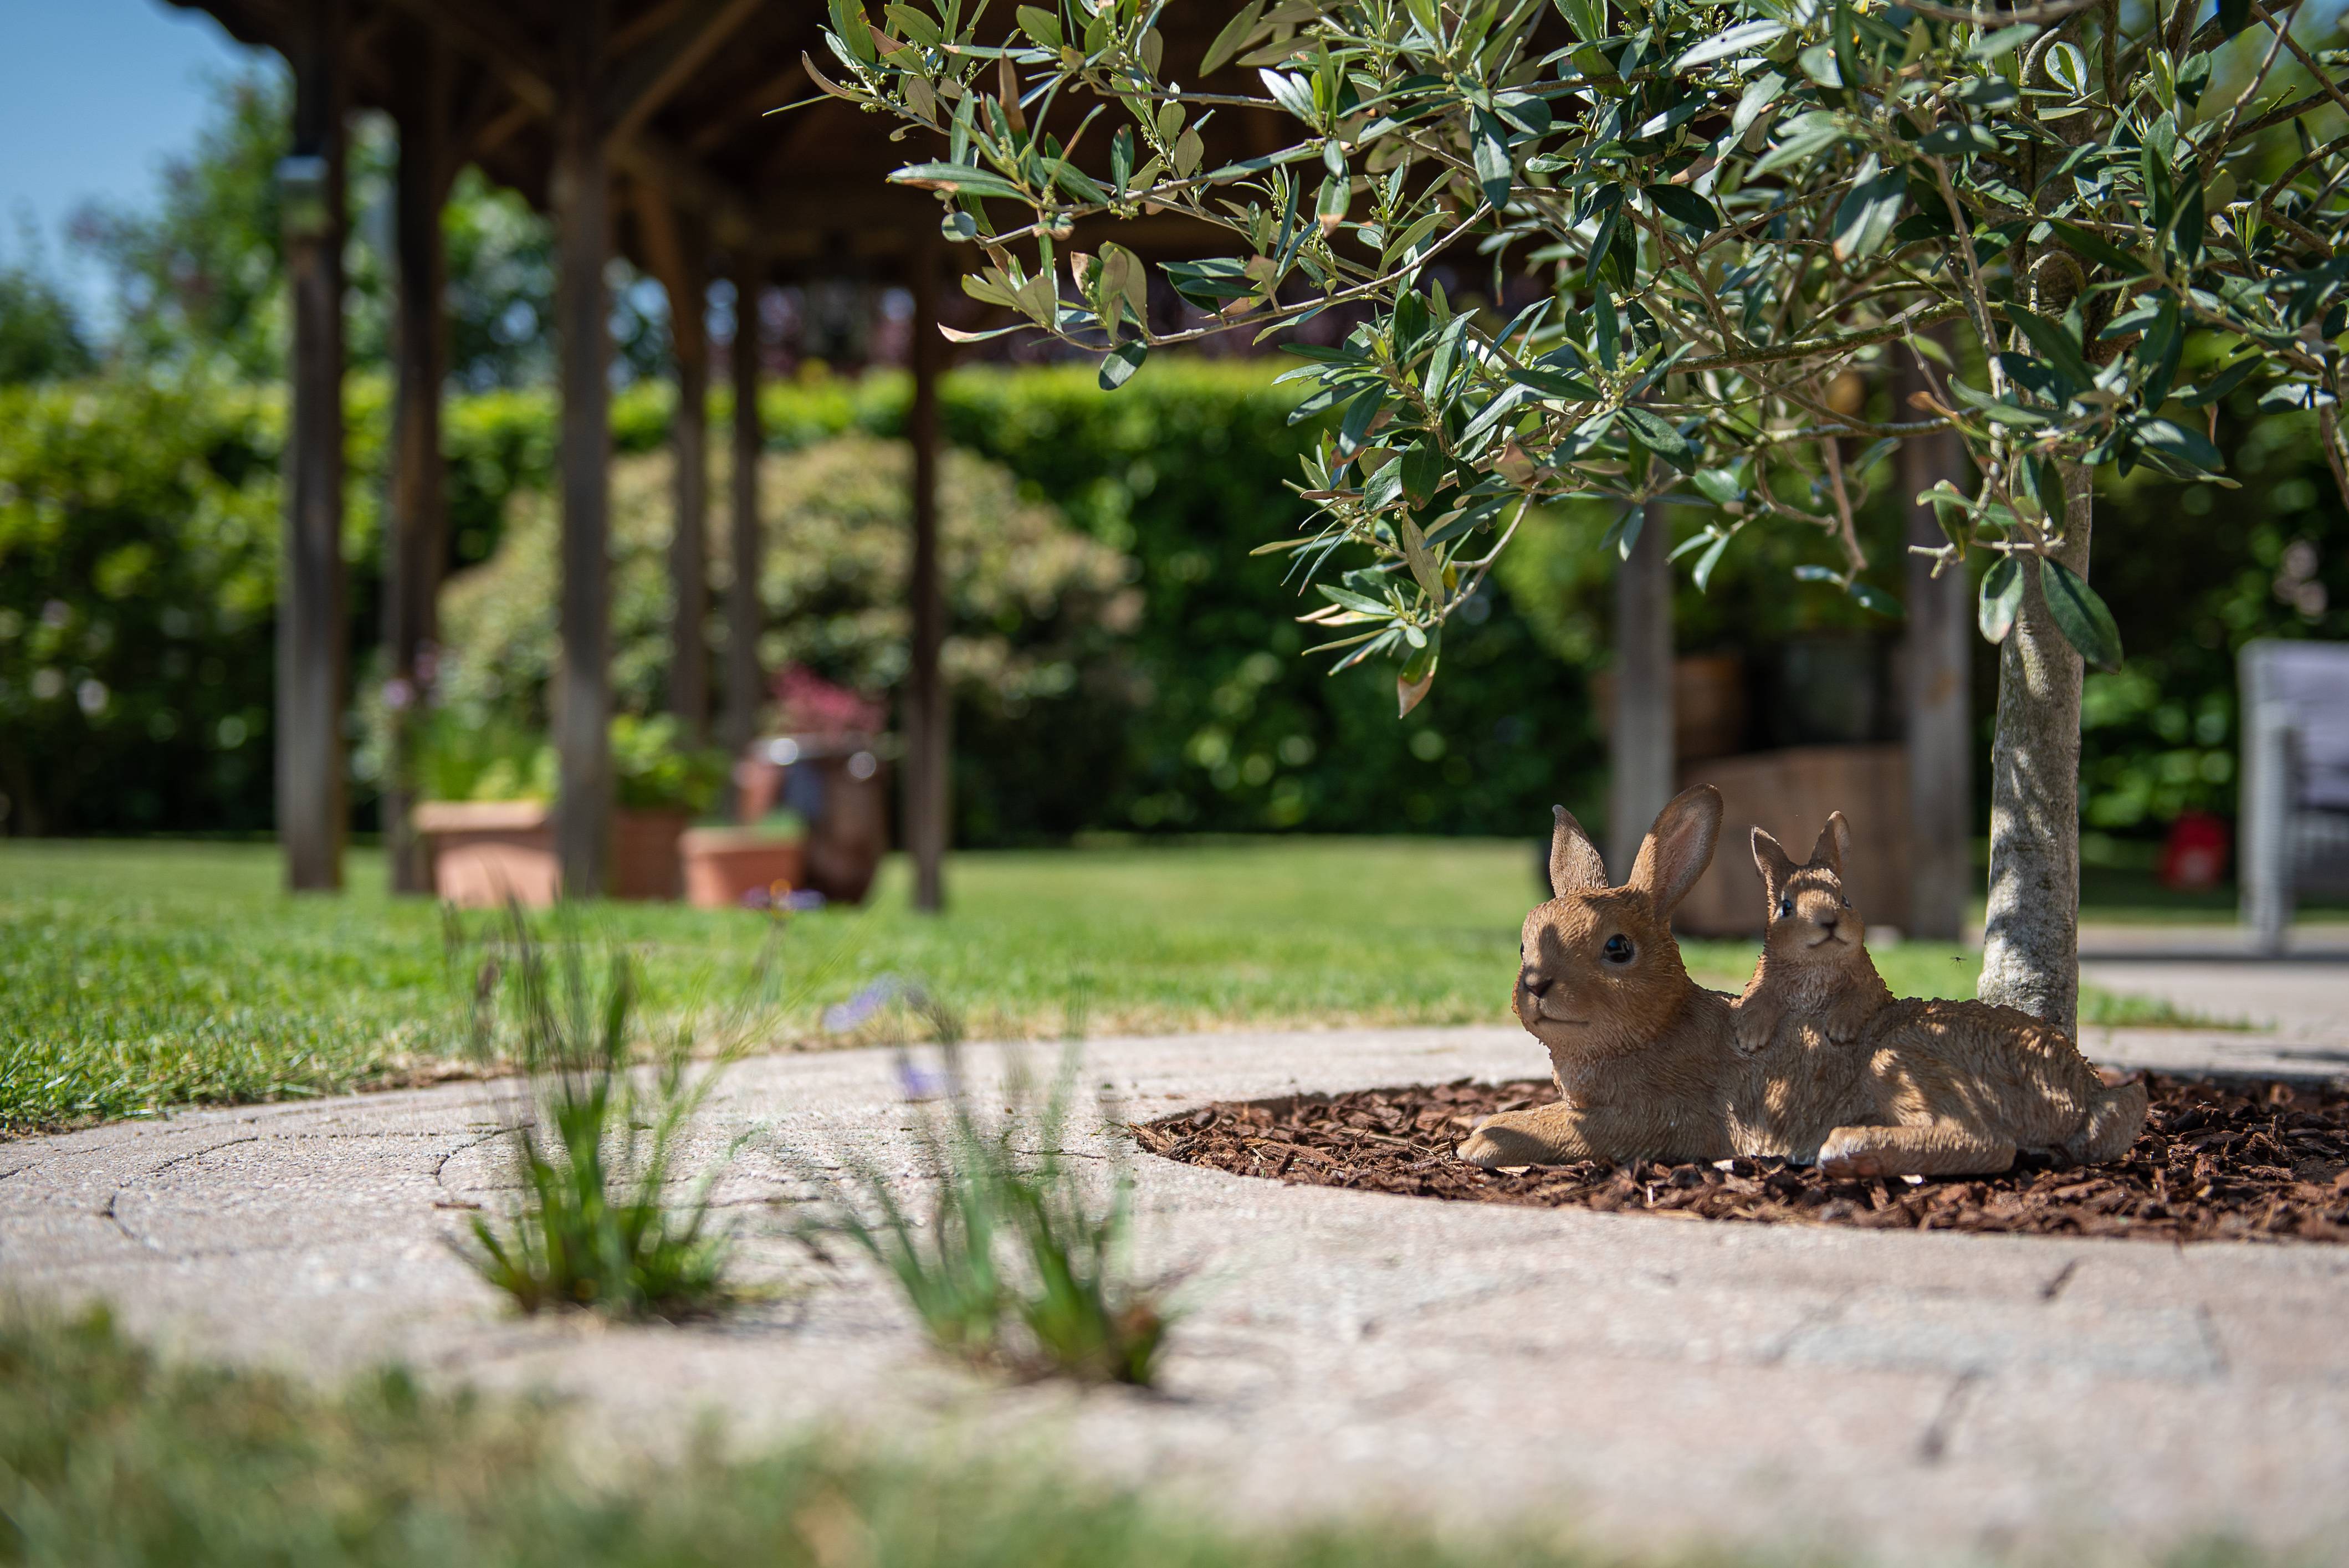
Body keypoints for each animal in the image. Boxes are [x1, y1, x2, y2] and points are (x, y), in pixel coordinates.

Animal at [1456, 785, 1751, 1168]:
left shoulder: (1663, 1115)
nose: (1536, 985)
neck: (1657, 1030)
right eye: (1523, 948)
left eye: (1618, 948)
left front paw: (1483, 1141)